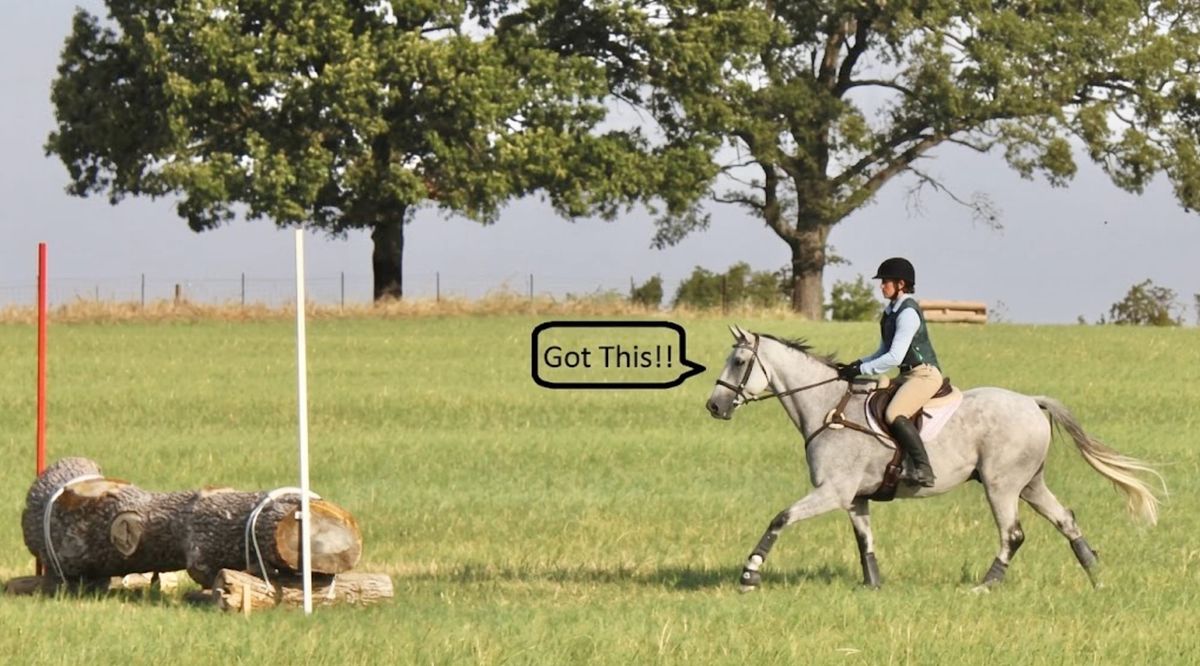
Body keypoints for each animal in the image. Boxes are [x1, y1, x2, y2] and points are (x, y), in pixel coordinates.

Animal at [705, 325, 1164, 592]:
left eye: (740, 361)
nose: (714, 406)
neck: (827, 408)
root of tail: (1032, 403)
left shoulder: (832, 491)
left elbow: (780, 519)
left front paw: (749, 574)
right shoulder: (855, 497)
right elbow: (864, 540)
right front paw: (873, 586)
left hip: (1000, 484)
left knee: (1012, 534)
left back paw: (985, 586)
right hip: (1030, 484)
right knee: (1065, 519)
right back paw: (1096, 576)